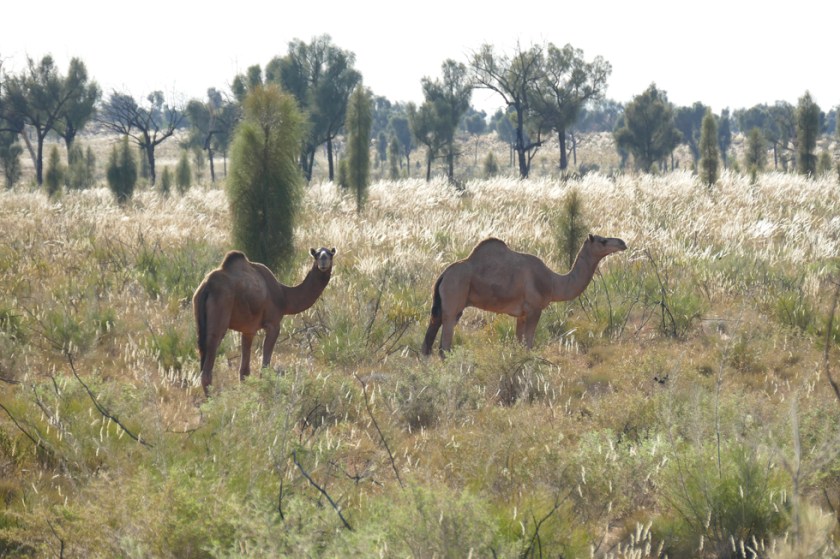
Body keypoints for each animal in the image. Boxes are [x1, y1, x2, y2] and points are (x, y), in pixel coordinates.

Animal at [192, 247, 335, 395]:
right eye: (316, 255)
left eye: (330, 254)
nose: (323, 260)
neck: (284, 296)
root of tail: (206, 286)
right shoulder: (273, 325)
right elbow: (265, 367)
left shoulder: (248, 330)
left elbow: (244, 372)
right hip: (218, 320)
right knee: (207, 371)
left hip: (199, 320)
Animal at [421, 234, 626, 356]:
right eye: (602, 240)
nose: (622, 243)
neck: (553, 282)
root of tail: (443, 275)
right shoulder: (535, 309)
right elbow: (528, 345)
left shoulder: (521, 314)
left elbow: (519, 344)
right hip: (453, 301)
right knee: (444, 345)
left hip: (441, 307)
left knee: (428, 340)